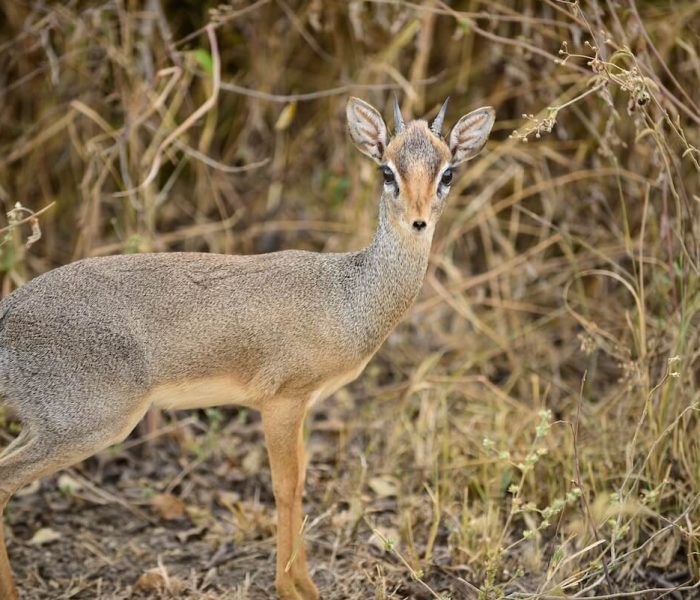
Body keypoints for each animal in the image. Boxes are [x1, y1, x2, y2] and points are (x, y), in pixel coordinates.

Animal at [0, 96, 492, 596]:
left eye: (448, 172)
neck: (346, 296)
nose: (419, 220)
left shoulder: (304, 406)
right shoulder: (281, 402)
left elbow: (299, 484)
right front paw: (293, 589)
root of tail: (9, 307)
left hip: (44, 424)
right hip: (89, 424)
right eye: (387, 171)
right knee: (5, 481)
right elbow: (285, 487)